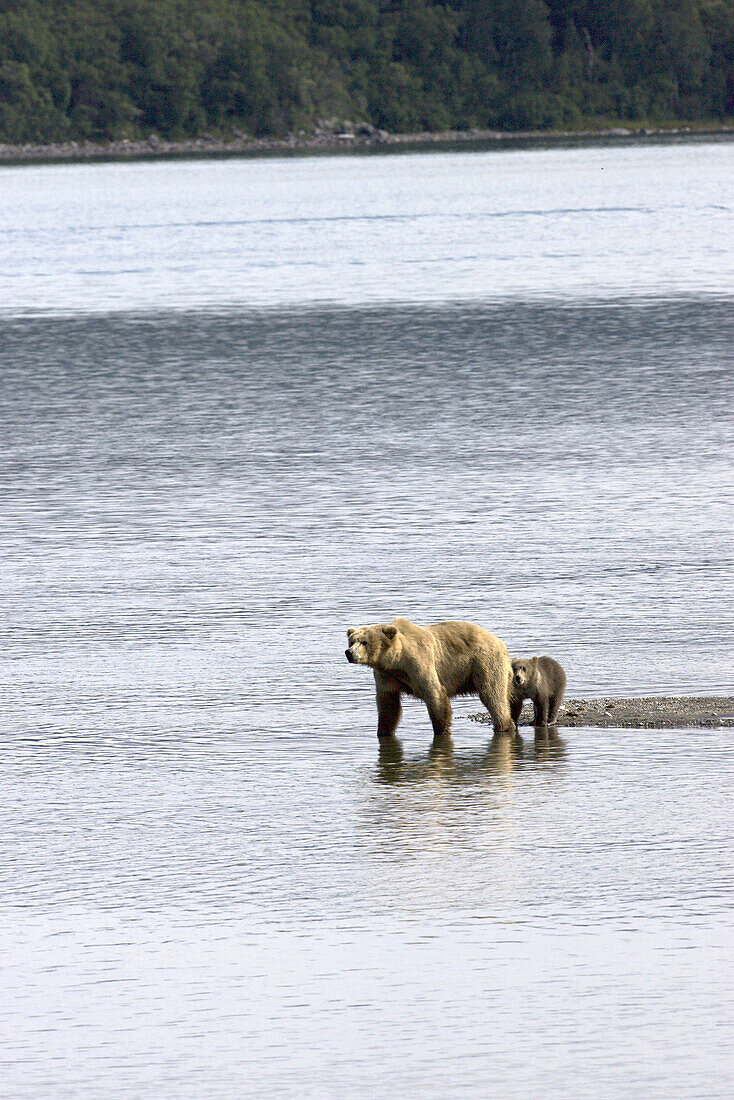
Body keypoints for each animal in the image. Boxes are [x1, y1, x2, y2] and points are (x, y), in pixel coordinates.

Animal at [345, 620, 515, 739]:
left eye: (364, 642)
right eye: (352, 641)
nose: (349, 652)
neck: (397, 661)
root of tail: (500, 641)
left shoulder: (420, 662)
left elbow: (435, 695)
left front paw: (442, 730)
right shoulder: (386, 676)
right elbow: (388, 705)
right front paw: (383, 731)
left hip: (484, 662)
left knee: (492, 694)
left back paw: (504, 725)